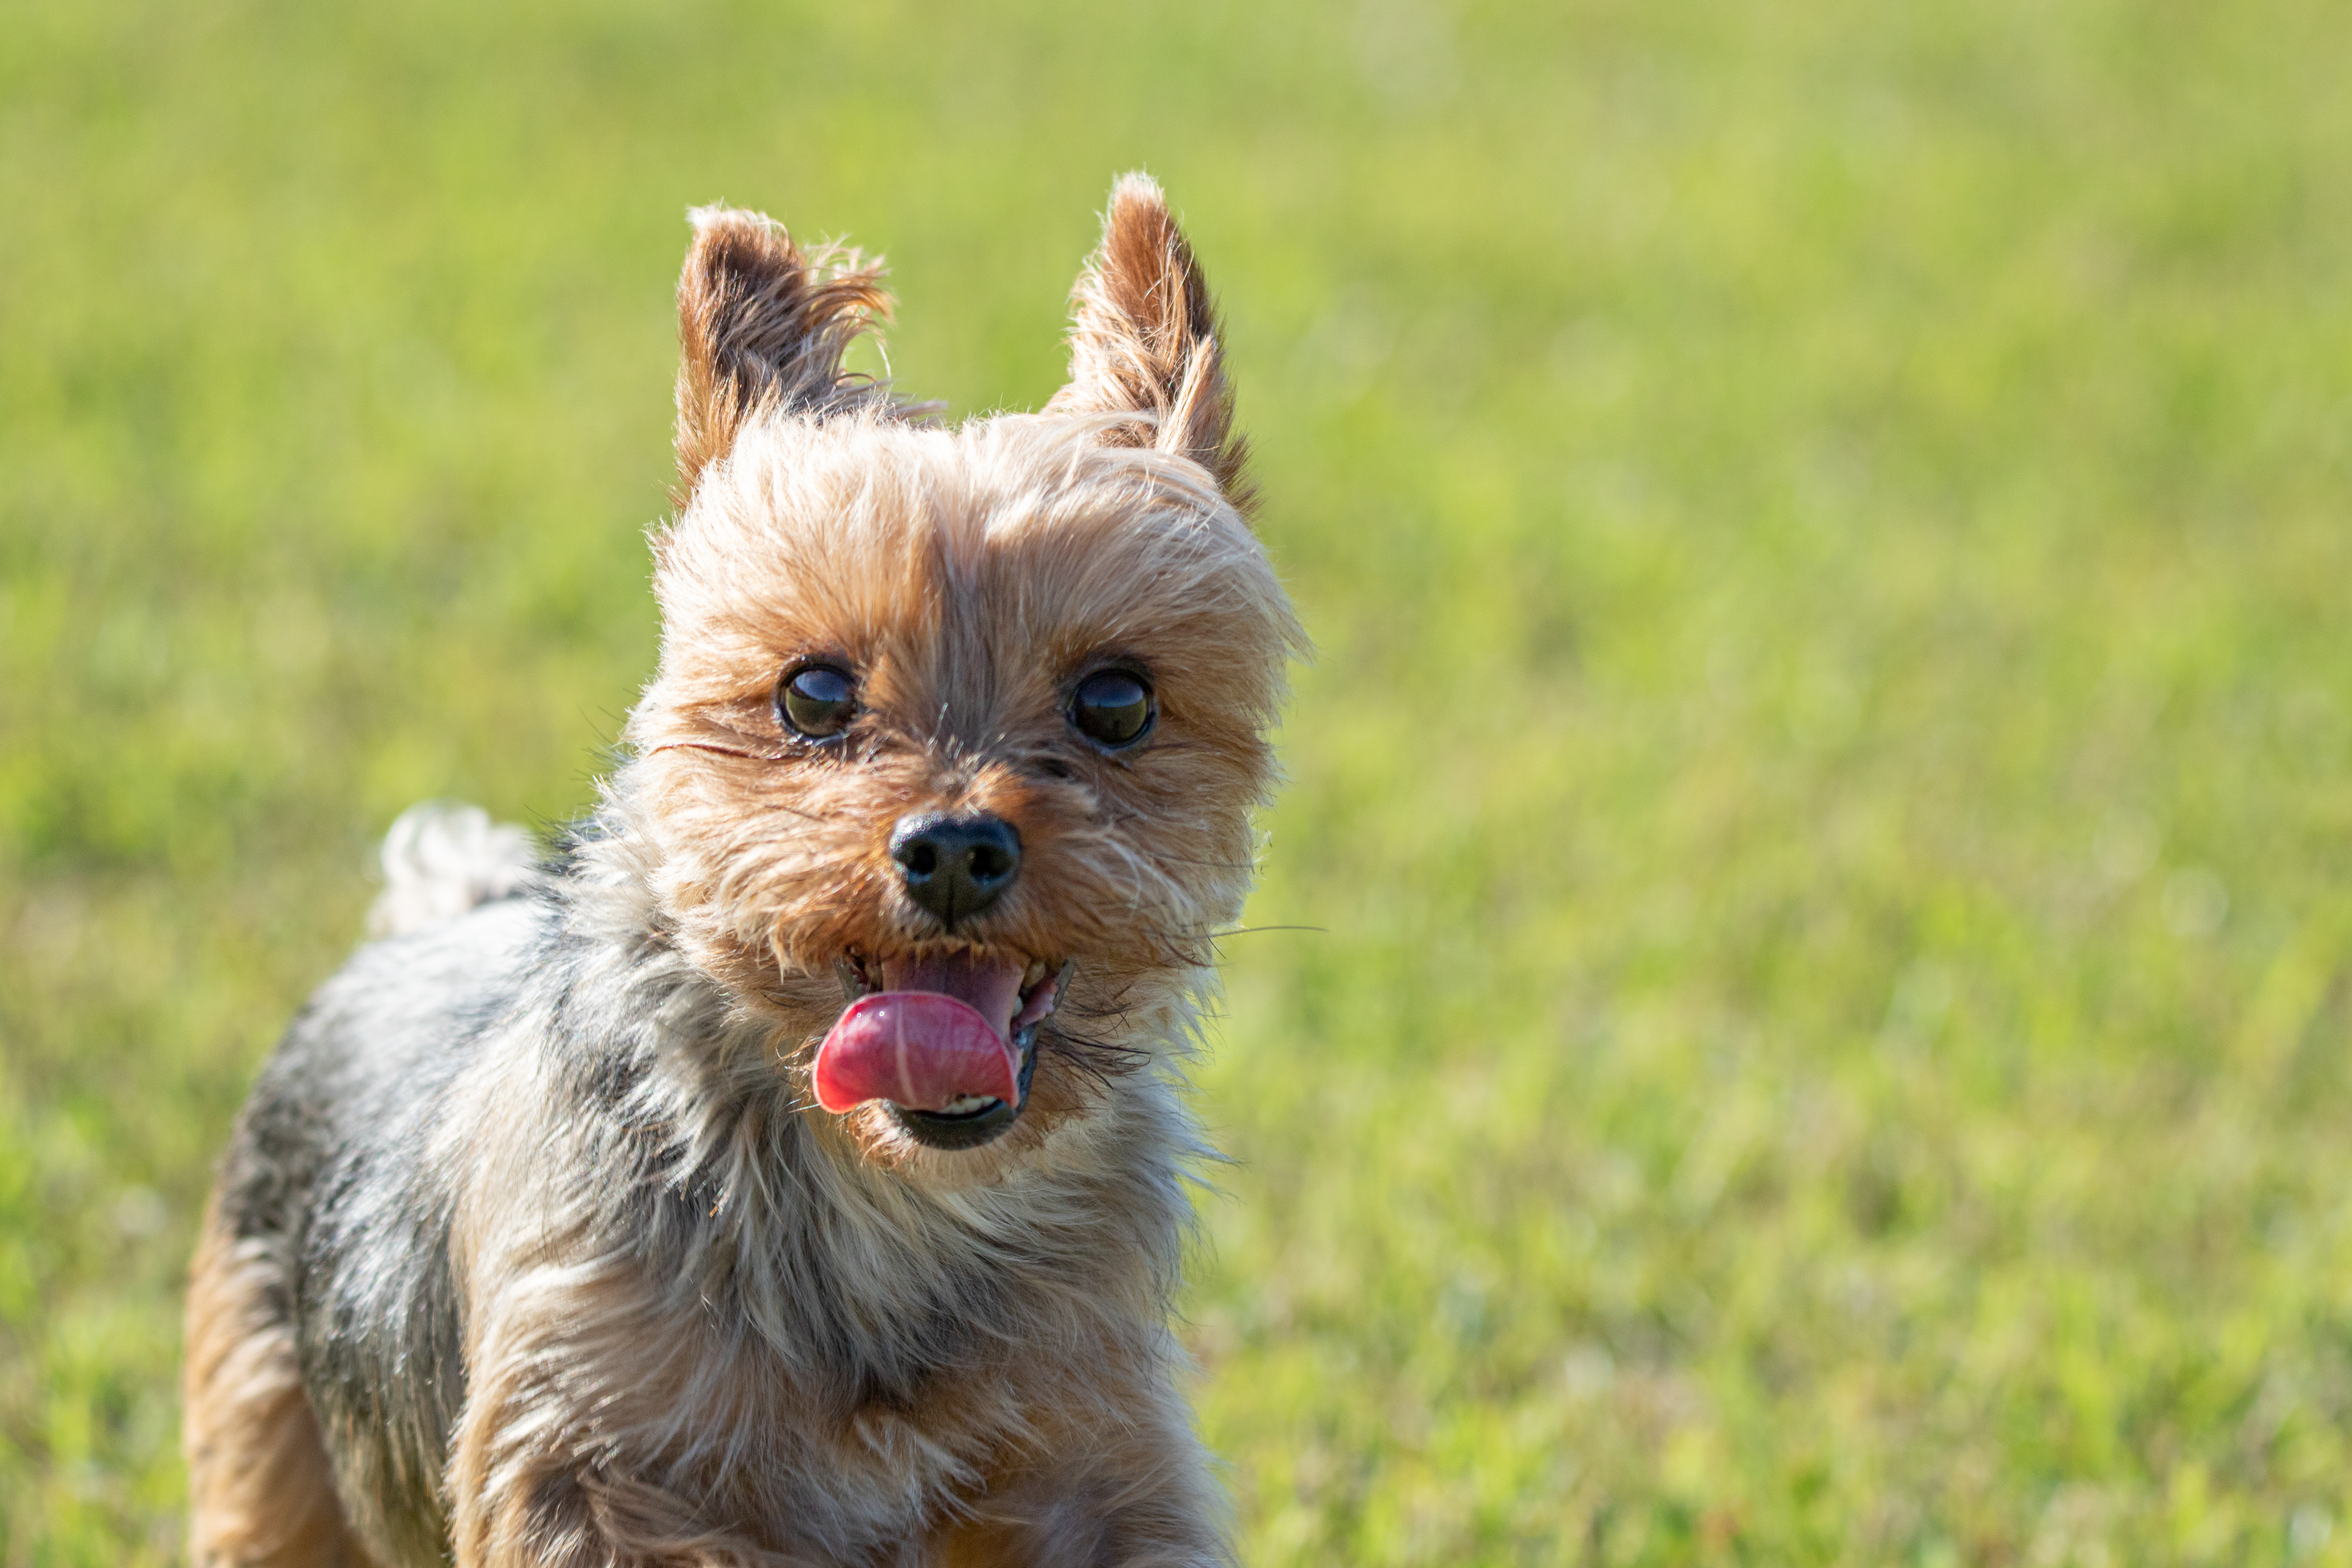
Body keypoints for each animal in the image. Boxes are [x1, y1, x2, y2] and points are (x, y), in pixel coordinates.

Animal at [183, 175, 1308, 1568]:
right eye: (813, 695)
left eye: (1117, 700)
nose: (952, 845)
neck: (893, 1202)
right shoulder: (588, 1463)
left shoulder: (1090, 1450)